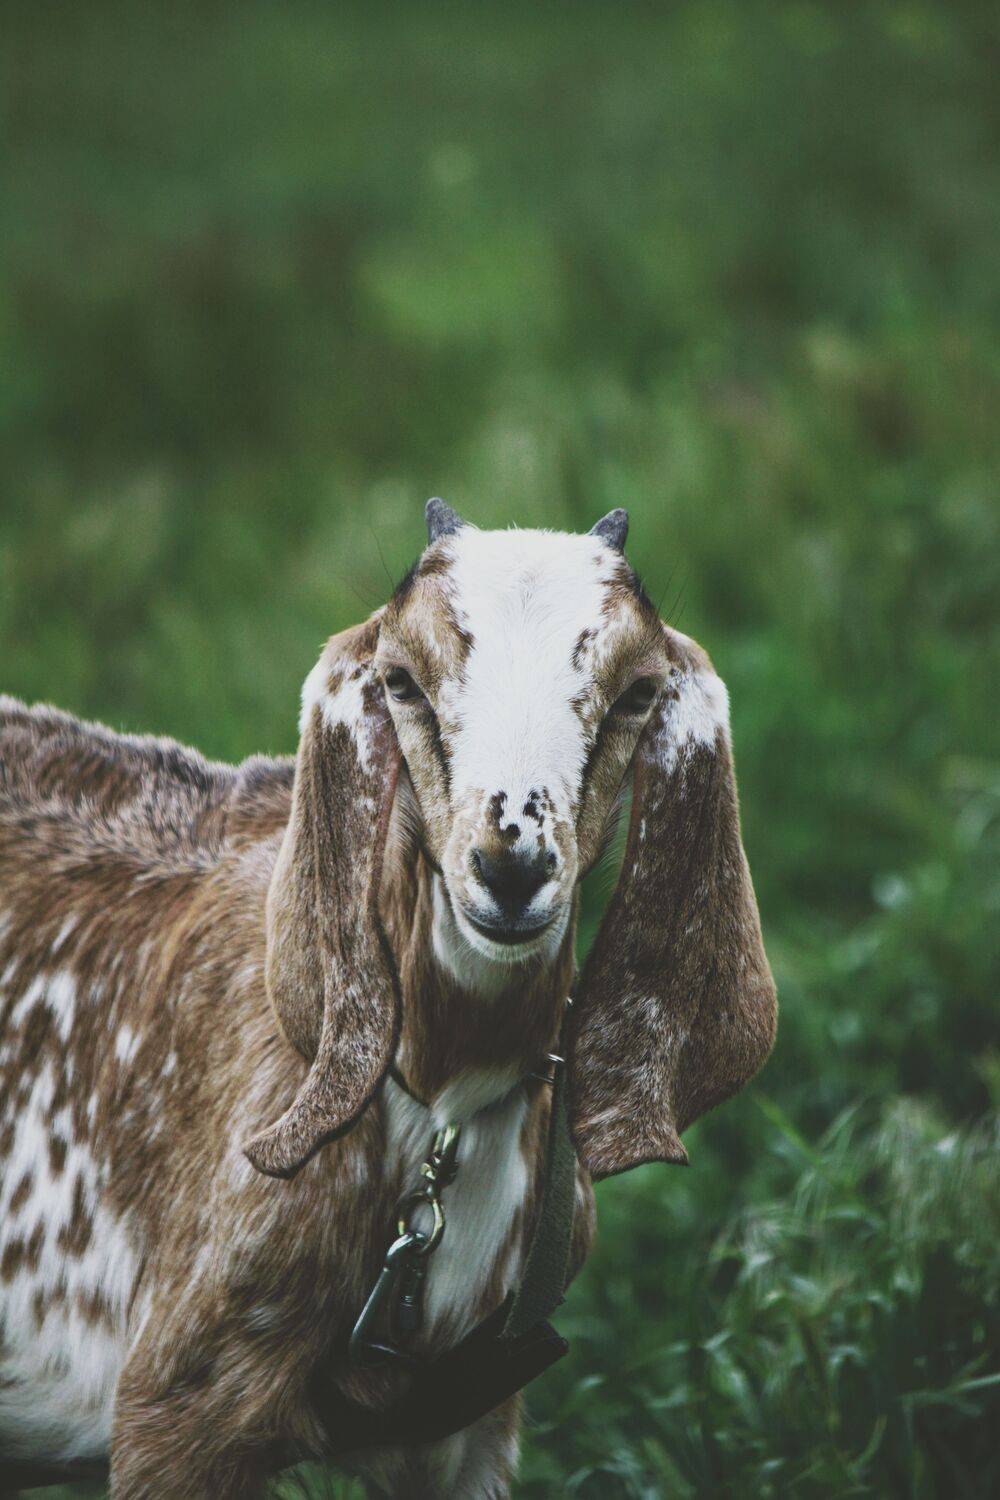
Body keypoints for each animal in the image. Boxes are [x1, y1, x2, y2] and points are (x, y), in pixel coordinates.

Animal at [0, 505, 776, 1498]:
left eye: (638, 691)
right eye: (401, 679)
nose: (512, 862)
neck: (440, 1104)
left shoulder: (468, 1433)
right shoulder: (174, 1412)